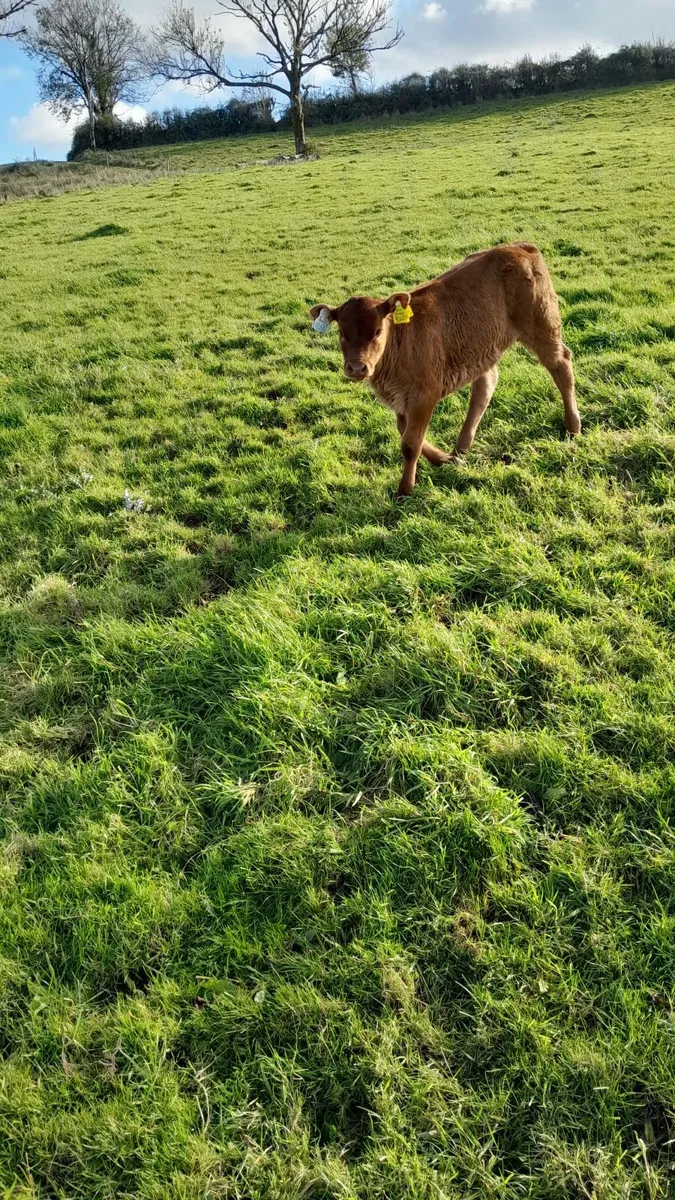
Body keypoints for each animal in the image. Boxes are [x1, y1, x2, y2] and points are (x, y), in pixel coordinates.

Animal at [310, 242, 581, 497]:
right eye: (342, 332)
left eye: (377, 331)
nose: (357, 367)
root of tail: (518, 246)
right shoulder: (401, 401)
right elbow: (406, 433)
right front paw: (446, 460)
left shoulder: (424, 396)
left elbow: (410, 444)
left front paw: (404, 490)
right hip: (483, 346)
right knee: (485, 385)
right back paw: (461, 448)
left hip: (542, 324)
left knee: (561, 365)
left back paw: (573, 427)